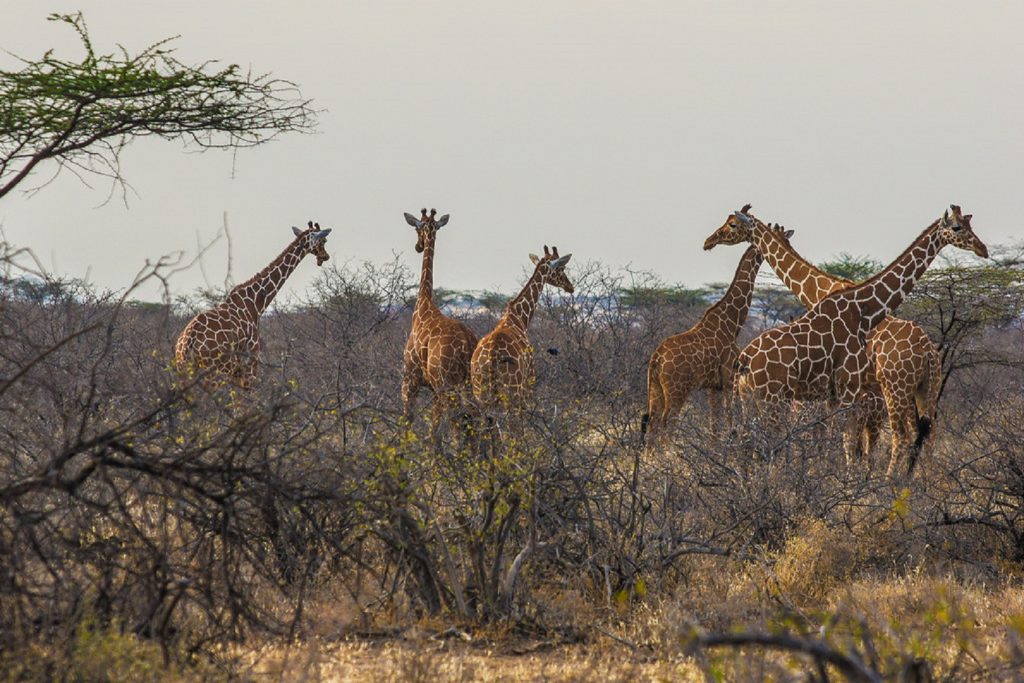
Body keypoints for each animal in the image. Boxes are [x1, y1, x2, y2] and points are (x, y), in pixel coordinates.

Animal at [176, 222, 331, 387]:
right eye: (323, 241)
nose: (325, 256)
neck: (256, 303)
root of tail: (187, 343)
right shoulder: (252, 360)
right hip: (215, 372)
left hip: (185, 372)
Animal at [399, 205, 479, 436]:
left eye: (416, 228)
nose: (418, 246)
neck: (423, 304)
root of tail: (466, 343)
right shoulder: (433, 389)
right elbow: (433, 430)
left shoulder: (410, 379)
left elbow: (407, 419)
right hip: (470, 383)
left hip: (447, 385)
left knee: (457, 421)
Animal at [471, 245, 577, 405]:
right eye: (562, 268)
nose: (570, 287)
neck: (519, 319)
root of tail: (492, 357)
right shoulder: (530, 380)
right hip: (513, 390)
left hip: (480, 392)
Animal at [638, 237, 774, 446]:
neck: (732, 324)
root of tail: (656, 359)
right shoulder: (728, 379)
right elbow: (729, 419)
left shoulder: (713, 387)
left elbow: (714, 427)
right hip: (677, 391)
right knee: (666, 424)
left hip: (655, 388)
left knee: (651, 423)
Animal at [729, 204, 983, 471]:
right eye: (958, 227)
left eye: (732, 225)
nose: (982, 248)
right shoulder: (845, 392)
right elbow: (846, 441)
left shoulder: (846, 391)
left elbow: (844, 441)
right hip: (920, 388)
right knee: (922, 434)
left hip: (900, 389)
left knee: (905, 435)